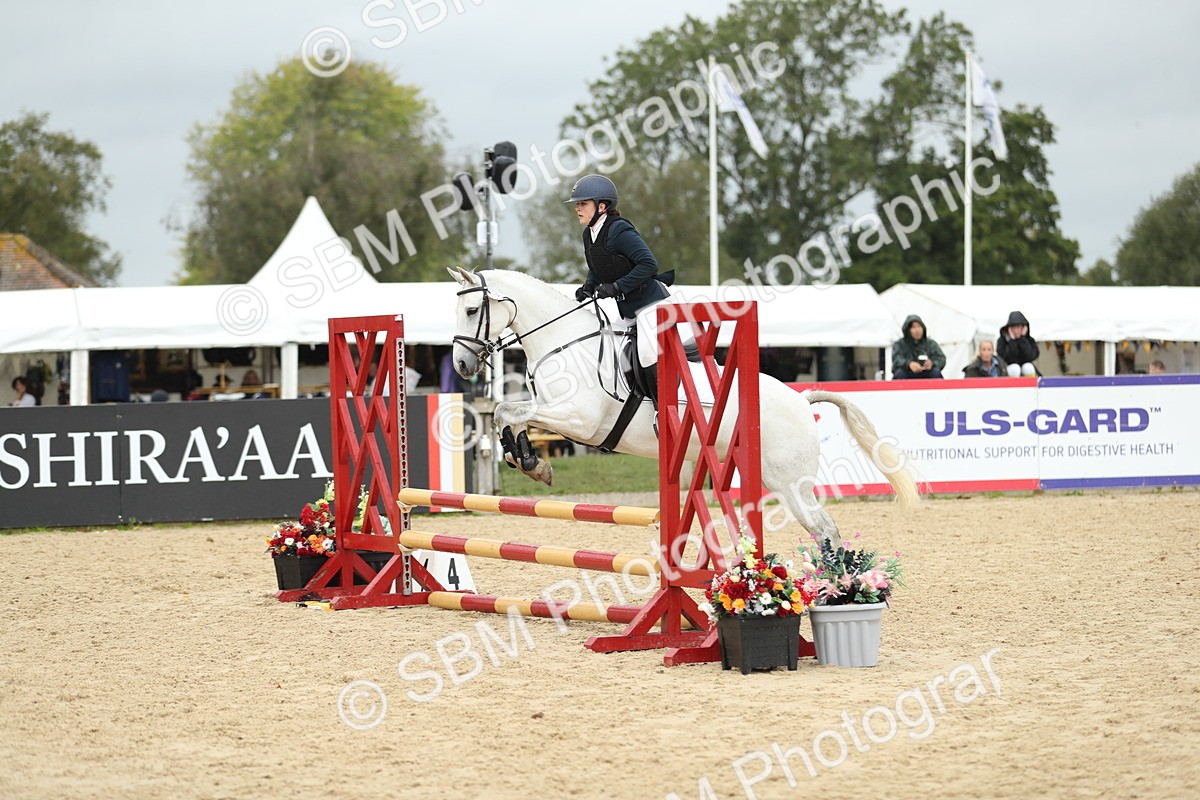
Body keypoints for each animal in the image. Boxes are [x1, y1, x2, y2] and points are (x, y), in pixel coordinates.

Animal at [447, 267, 918, 545]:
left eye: (471, 309)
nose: (462, 365)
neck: (565, 339)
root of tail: (801, 399)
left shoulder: (579, 419)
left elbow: (508, 412)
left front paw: (530, 462)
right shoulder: (552, 410)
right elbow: (509, 415)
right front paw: (529, 461)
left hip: (789, 481)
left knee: (825, 529)